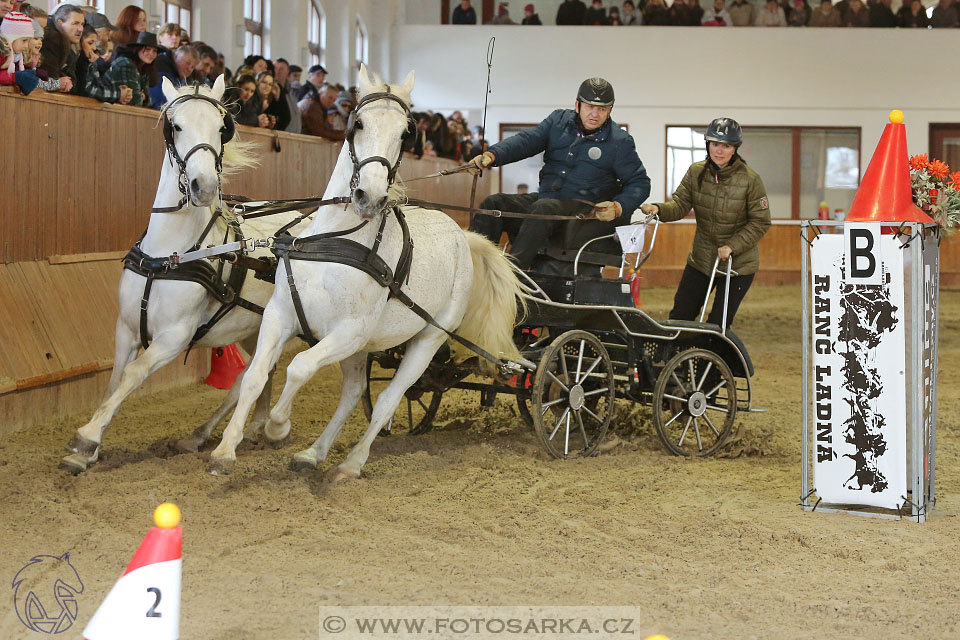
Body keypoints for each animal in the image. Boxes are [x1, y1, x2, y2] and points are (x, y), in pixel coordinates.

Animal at [62, 77, 310, 472]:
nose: (204, 186)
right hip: (255, 326)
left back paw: (218, 434)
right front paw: (89, 449)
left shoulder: (175, 337)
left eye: (222, 129)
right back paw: (245, 427)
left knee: (248, 377)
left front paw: (86, 438)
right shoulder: (126, 328)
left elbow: (133, 374)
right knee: (260, 372)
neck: (169, 256)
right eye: (175, 127)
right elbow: (115, 381)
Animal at [206, 67, 524, 482]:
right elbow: (255, 377)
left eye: (406, 133)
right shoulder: (280, 316)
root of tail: (462, 234)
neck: (335, 242)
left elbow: (299, 367)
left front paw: (277, 426)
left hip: (429, 338)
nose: (369, 198)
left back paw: (351, 463)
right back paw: (312, 454)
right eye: (357, 124)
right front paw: (225, 450)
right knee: (354, 392)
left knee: (389, 397)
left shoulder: (350, 331)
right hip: (362, 348)